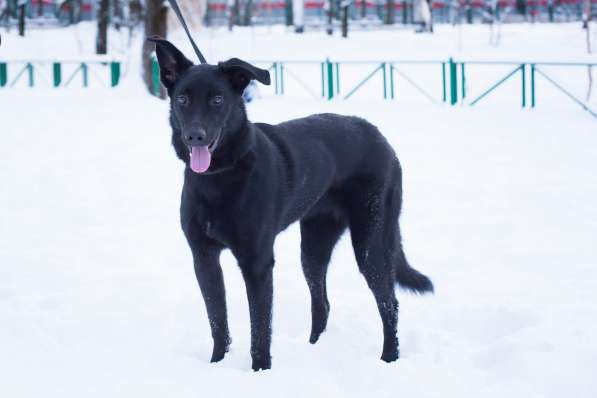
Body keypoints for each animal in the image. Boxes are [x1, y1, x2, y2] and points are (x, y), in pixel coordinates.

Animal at [147, 38, 430, 372]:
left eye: (217, 99)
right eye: (182, 99)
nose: (195, 136)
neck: (220, 178)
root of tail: (378, 135)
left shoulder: (257, 263)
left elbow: (260, 328)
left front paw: (260, 371)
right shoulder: (203, 259)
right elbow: (218, 322)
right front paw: (217, 364)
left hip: (370, 243)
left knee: (389, 303)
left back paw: (389, 358)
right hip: (314, 246)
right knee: (322, 303)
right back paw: (314, 349)